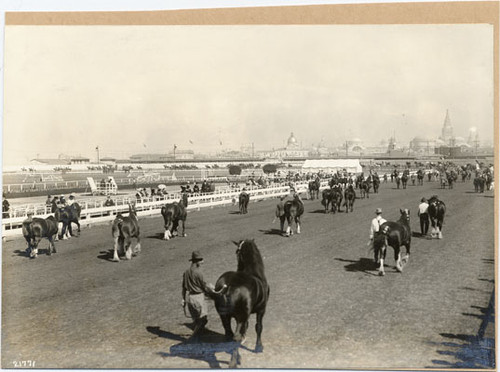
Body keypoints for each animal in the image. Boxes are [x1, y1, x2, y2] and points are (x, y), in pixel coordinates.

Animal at [214, 240, 272, 368]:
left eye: (237, 251)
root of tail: (229, 286)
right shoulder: (261, 310)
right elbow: (258, 327)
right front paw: (258, 347)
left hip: (224, 315)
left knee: (229, 334)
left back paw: (237, 357)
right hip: (242, 315)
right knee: (236, 337)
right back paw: (233, 363)